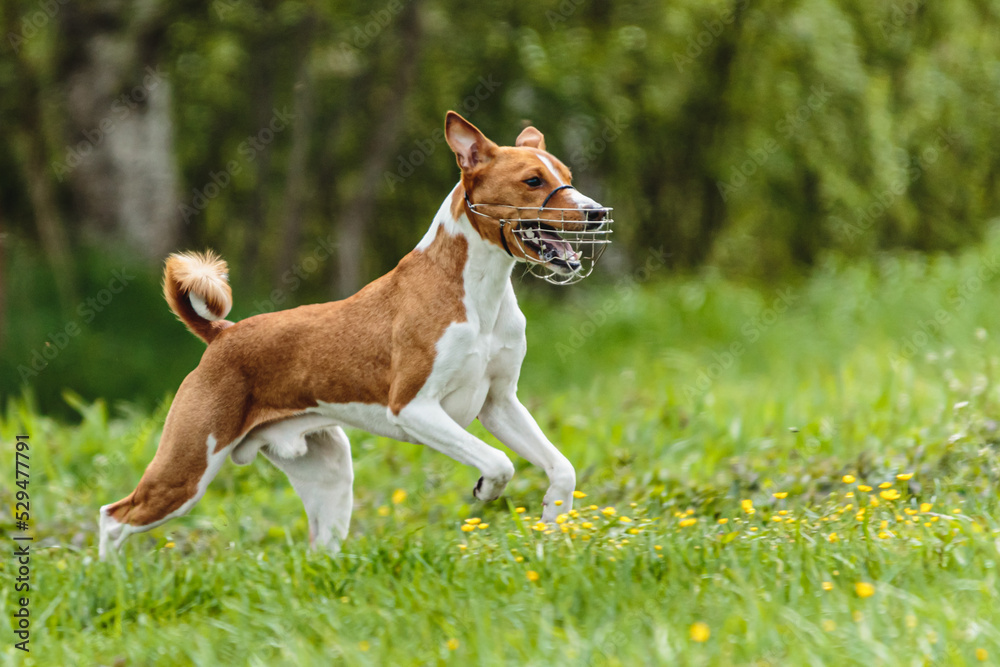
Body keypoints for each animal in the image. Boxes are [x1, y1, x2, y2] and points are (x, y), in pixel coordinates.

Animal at [103, 112, 616, 560]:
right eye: (533, 181)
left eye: (567, 175)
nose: (597, 213)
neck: (480, 297)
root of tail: (221, 334)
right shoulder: (413, 407)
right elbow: (497, 463)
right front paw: (486, 489)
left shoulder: (499, 402)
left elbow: (562, 470)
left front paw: (552, 533)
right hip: (186, 469)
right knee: (114, 517)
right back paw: (112, 581)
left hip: (330, 471)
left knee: (320, 546)